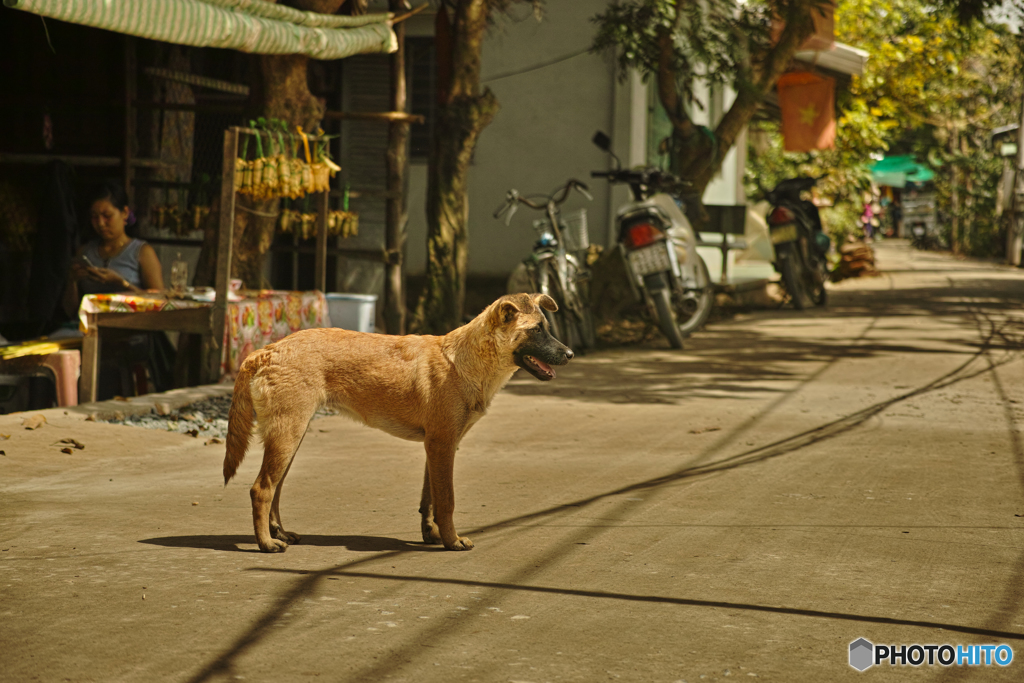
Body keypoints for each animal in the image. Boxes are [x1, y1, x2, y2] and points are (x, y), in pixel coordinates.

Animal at [226, 292, 577, 548]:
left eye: (546, 327)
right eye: (536, 330)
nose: (571, 354)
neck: (465, 362)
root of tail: (267, 351)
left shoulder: (436, 447)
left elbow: (429, 500)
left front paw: (433, 536)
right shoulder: (442, 445)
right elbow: (446, 500)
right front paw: (452, 541)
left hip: (290, 439)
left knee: (275, 490)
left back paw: (280, 534)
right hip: (287, 435)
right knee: (261, 489)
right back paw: (266, 544)